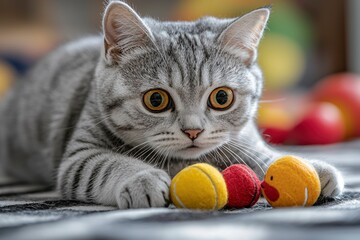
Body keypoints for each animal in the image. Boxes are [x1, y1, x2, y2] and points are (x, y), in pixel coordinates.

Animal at [0, 0, 344, 208]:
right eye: (156, 100)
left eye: (222, 98)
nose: (193, 131)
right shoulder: (80, 155)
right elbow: (108, 164)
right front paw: (142, 178)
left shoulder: (244, 140)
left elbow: (262, 156)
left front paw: (308, 167)